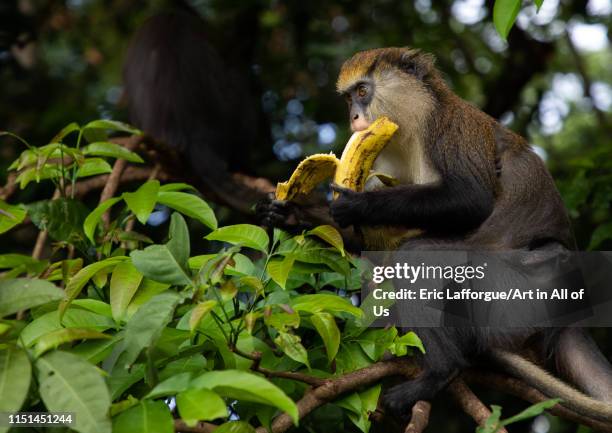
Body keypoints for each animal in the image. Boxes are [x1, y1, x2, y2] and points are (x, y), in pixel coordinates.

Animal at [258, 47, 612, 422]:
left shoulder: (448, 127)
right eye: (349, 98)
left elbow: (471, 199)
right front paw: (287, 214)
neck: (413, 123)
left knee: (418, 255)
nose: (354, 116)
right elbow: (367, 243)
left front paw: (359, 205)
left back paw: (440, 371)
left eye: (363, 91)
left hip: (513, 294)